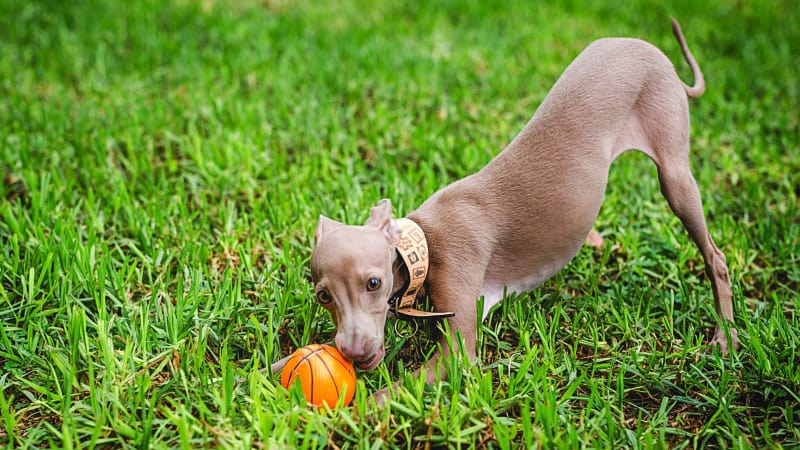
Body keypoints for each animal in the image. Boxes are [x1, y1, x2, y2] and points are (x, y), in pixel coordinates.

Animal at [282, 18, 736, 400]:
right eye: (323, 296)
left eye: (373, 283)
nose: (353, 354)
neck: (424, 242)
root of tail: (655, 53)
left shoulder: (457, 348)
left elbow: (382, 397)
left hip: (674, 174)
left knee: (716, 256)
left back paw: (726, 336)